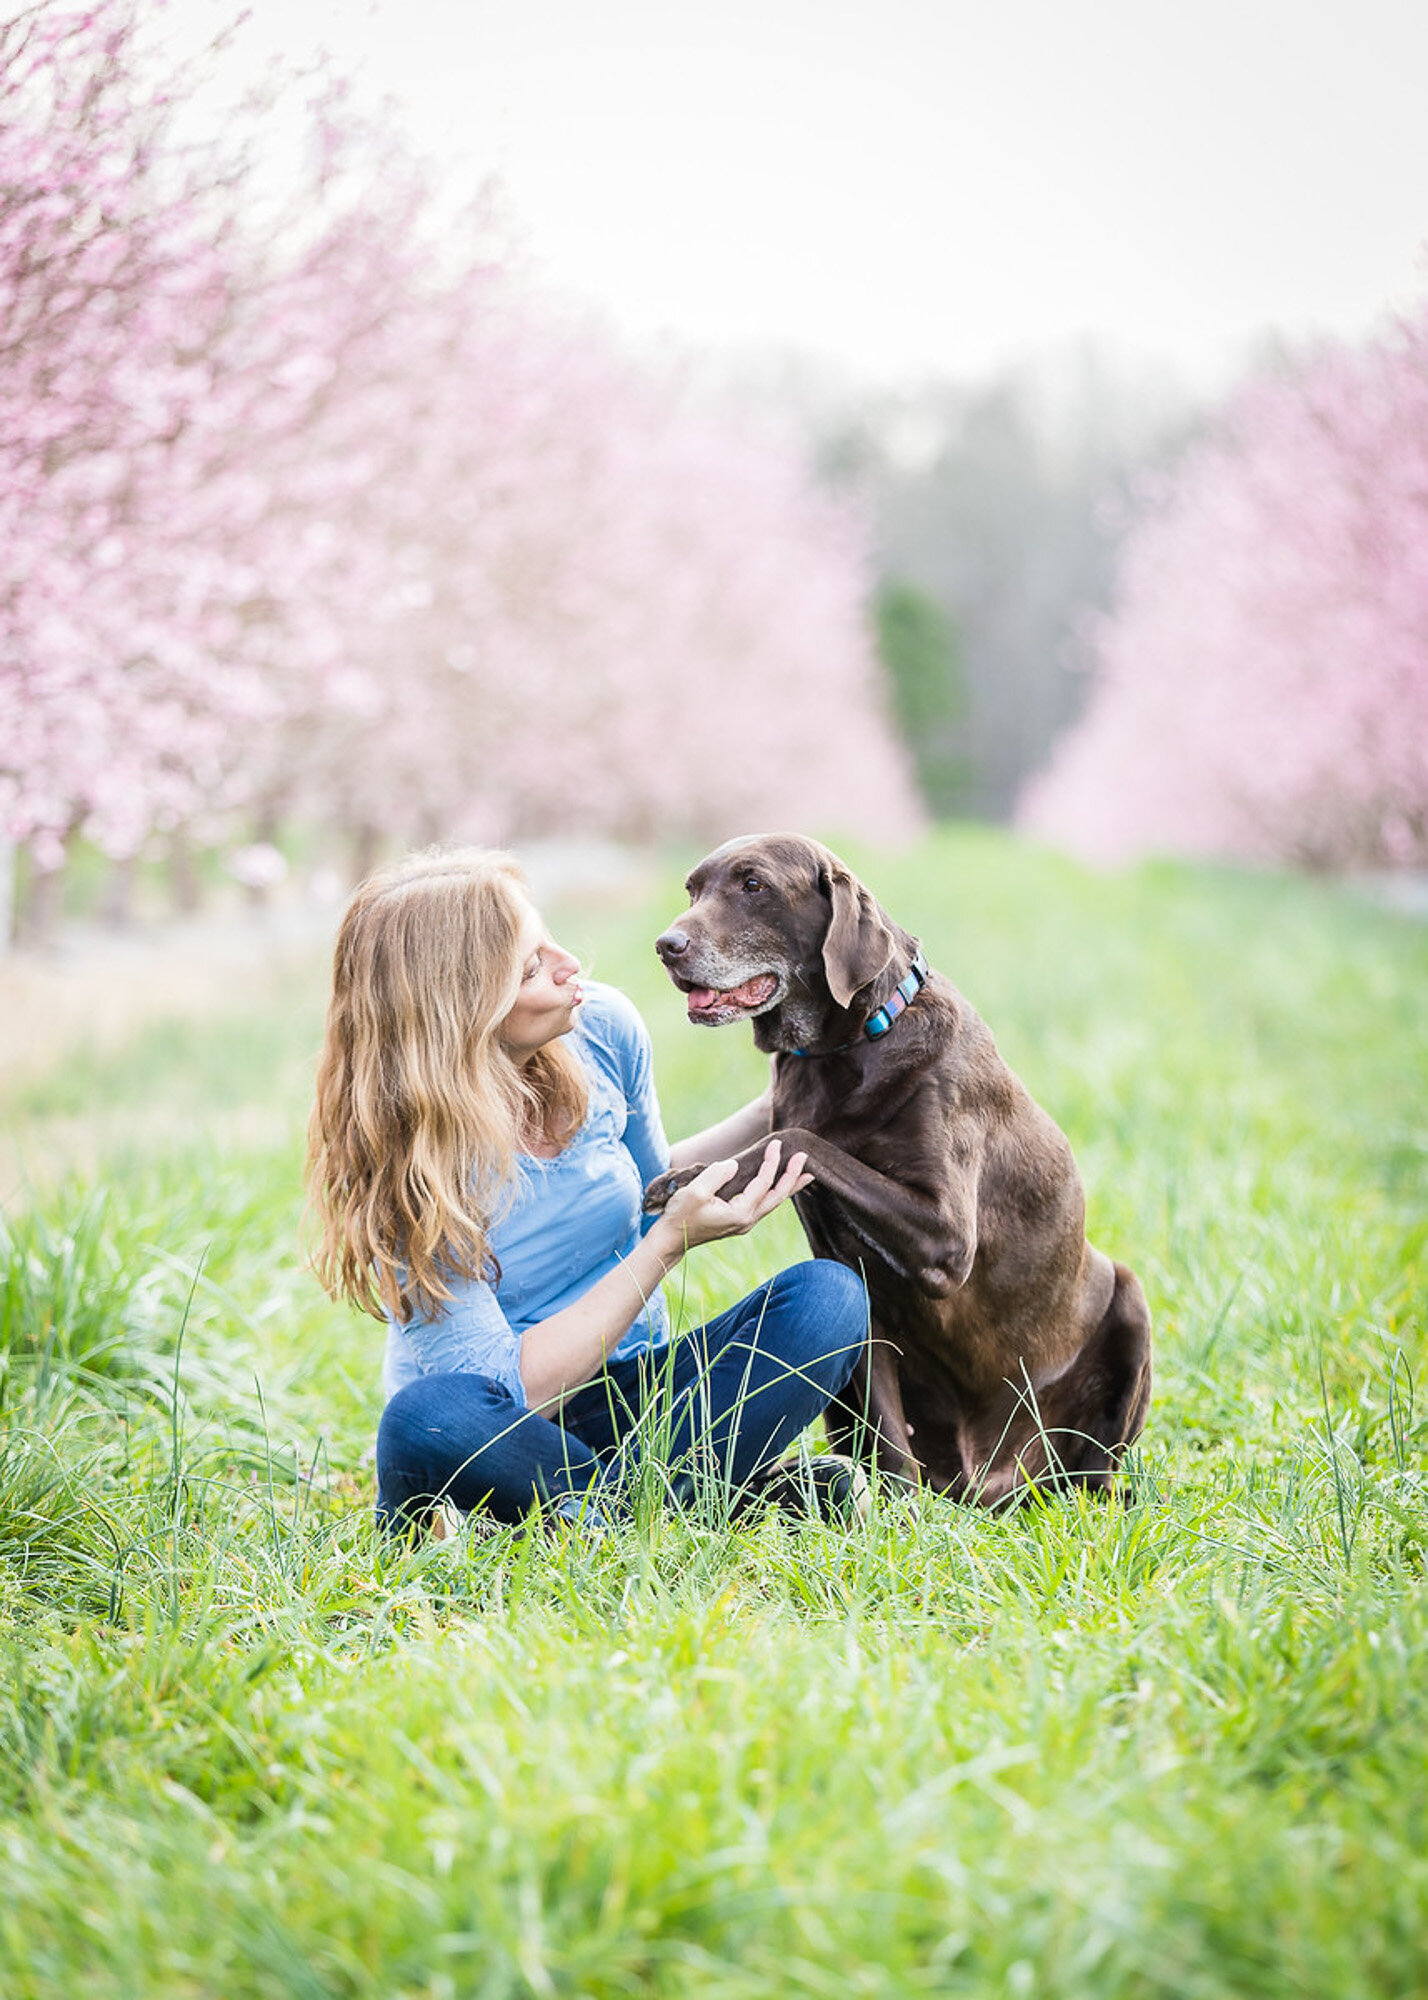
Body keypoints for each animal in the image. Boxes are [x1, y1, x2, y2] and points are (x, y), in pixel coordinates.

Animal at [644, 836, 1144, 1504]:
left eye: (754, 885)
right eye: (693, 889)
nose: (666, 946)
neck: (846, 1049)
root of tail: (987, 1485)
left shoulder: (946, 1238)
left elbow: (799, 1136)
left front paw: (691, 1176)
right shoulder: (860, 1288)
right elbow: (886, 1428)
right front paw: (895, 1509)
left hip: (1129, 1302)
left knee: (1097, 1468)